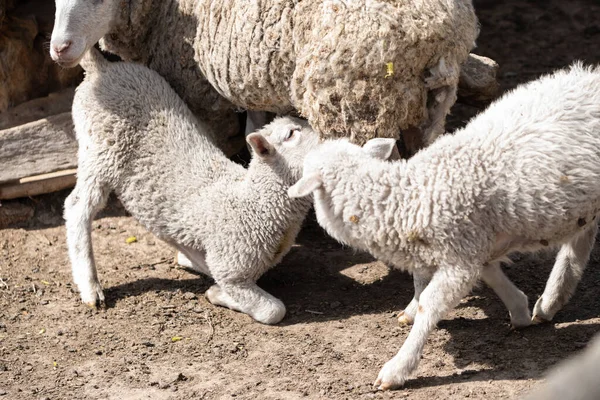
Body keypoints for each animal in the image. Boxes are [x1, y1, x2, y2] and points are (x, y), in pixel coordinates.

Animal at [50, 0, 482, 154]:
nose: (58, 48)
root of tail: (441, 29)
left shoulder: (199, 89)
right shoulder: (252, 80)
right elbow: (253, 127)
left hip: (353, 99)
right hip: (432, 104)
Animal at [65, 49, 318, 324]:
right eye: (291, 134)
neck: (253, 202)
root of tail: (102, 68)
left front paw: (193, 265)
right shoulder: (230, 266)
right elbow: (272, 310)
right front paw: (217, 294)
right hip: (100, 148)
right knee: (77, 206)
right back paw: (90, 287)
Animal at [288, 64, 600, 390]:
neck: (408, 197)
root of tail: (590, 75)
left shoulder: (459, 257)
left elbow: (429, 304)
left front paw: (397, 367)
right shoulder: (474, 246)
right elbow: (490, 274)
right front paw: (519, 310)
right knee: (581, 240)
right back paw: (550, 301)